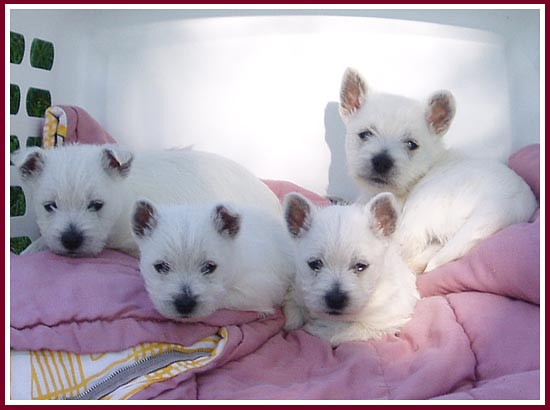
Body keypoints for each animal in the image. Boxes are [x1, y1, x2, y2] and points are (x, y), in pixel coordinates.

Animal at [284, 192, 418, 346]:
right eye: (315, 264)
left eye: (361, 266)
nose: (335, 299)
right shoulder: (296, 290)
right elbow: (293, 310)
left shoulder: (385, 319)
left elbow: (344, 331)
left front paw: (318, 328)